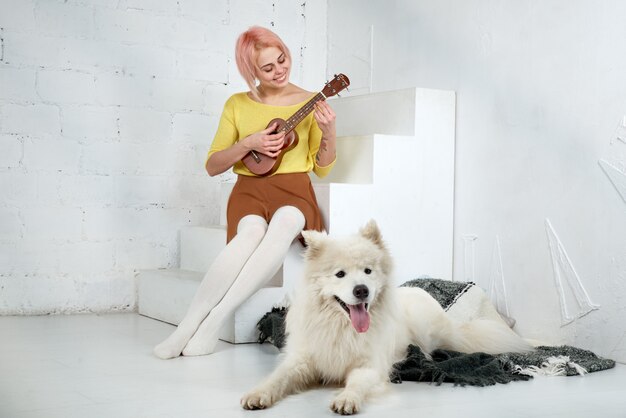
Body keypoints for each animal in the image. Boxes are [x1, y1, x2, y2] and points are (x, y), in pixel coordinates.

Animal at [239, 220, 532, 414]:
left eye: (368, 271)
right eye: (340, 274)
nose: (361, 290)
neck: (342, 328)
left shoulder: (370, 366)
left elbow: (356, 383)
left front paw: (347, 399)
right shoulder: (302, 360)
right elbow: (277, 378)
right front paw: (258, 394)